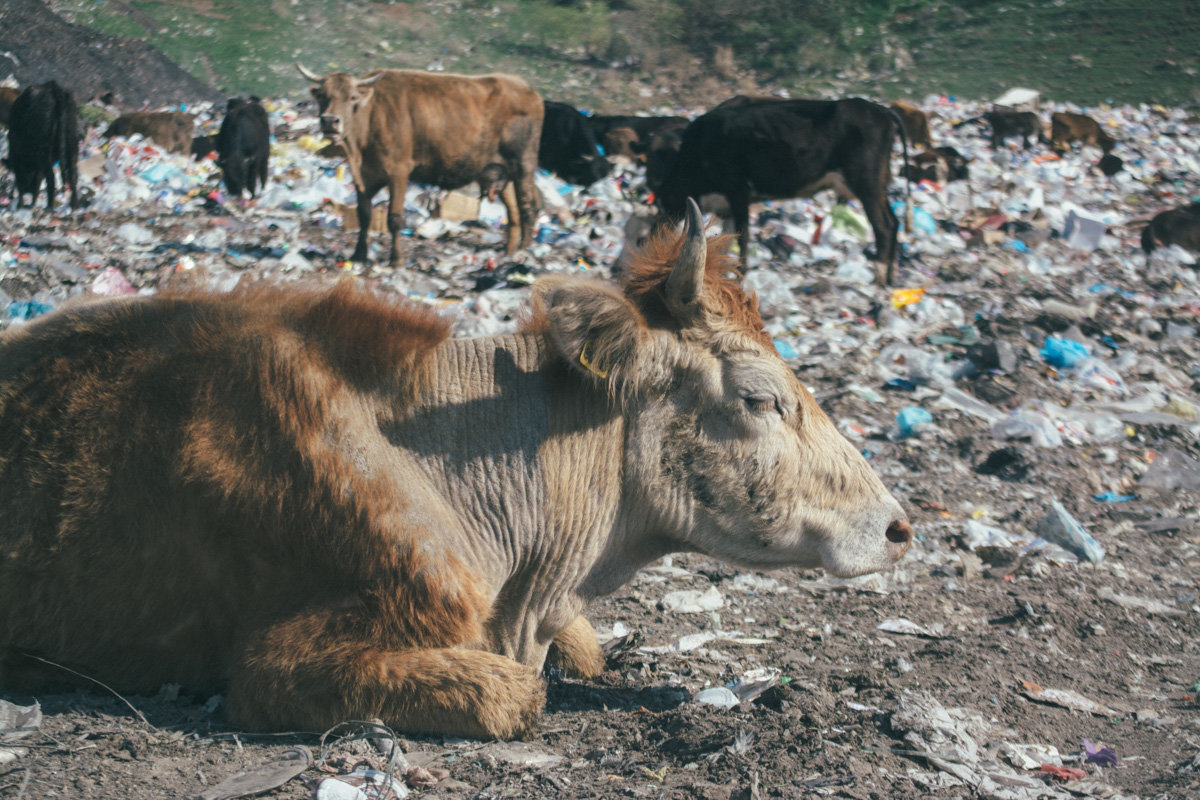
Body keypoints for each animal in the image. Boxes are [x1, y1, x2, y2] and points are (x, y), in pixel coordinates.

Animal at [2, 81, 79, 211]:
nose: (28, 191)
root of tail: (55, 89)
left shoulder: (18, 158)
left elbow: (22, 181)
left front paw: (21, 205)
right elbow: (37, 180)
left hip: (45, 151)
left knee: (51, 177)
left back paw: (49, 206)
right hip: (72, 143)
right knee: (73, 173)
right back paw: (74, 204)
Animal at [297, 65, 542, 266]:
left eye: (352, 97)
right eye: (323, 95)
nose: (330, 121)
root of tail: (528, 90)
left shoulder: (398, 171)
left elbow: (394, 218)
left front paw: (397, 260)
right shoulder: (364, 176)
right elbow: (364, 214)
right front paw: (358, 254)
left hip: (524, 165)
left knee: (528, 207)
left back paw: (524, 250)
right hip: (501, 171)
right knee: (514, 212)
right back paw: (509, 252)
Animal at [652, 98, 902, 284]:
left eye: (666, 206)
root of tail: (882, 110)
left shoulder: (737, 191)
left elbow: (742, 235)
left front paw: (740, 275)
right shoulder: (727, 204)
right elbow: (727, 238)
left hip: (866, 182)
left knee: (883, 226)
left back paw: (879, 277)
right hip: (879, 184)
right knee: (893, 222)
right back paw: (890, 277)